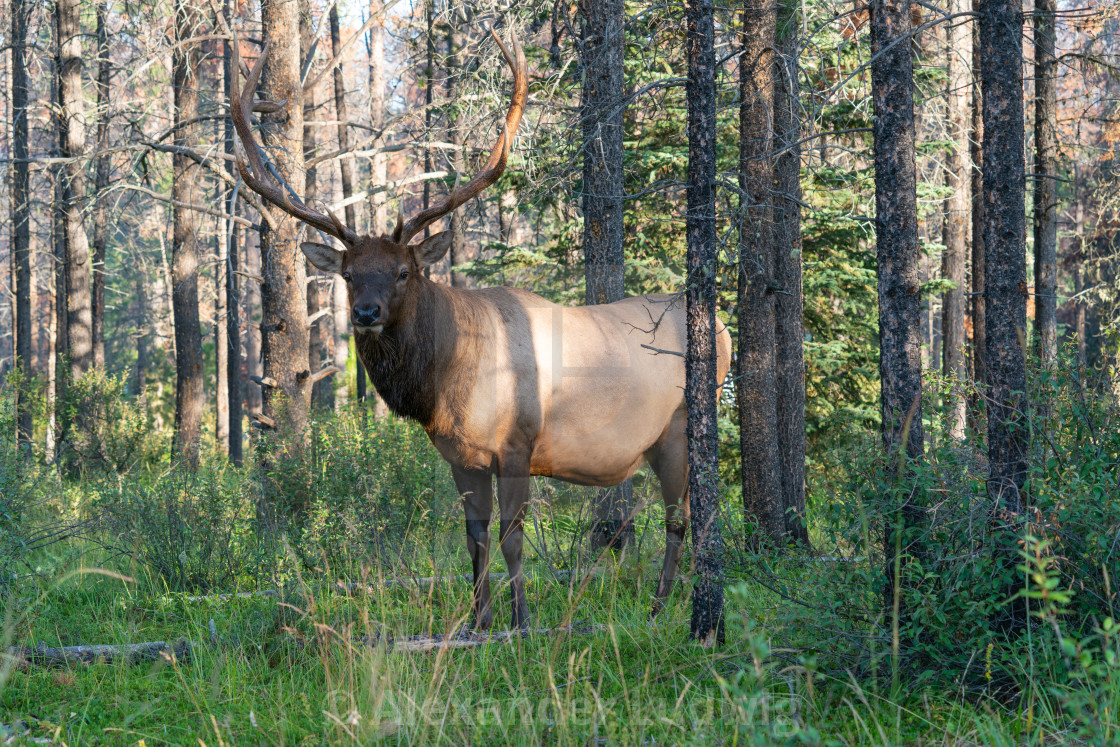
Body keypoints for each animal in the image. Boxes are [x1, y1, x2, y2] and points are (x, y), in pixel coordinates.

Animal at [229, 29, 734, 627]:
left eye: (404, 271)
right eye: (349, 276)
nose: (366, 314)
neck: (446, 387)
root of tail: (722, 328)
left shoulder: (518, 444)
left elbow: (514, 535)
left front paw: (520, 620)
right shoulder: (459, 456)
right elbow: (475, 538)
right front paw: (478, 620)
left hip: (679, 425)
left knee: (684, 517)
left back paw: (661, 607)